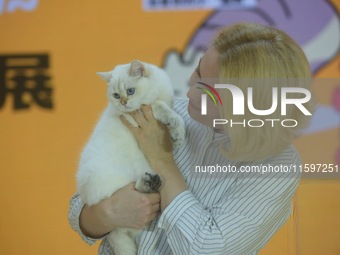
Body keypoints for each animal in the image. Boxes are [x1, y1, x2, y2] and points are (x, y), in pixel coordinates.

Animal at [76, 60, 185, 255]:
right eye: (116, 95)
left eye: (130, 91)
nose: (124, 102)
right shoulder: (137, 115)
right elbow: (161, 108)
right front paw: (176, 128)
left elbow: (167, 110)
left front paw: (176, 135)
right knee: (134, 191)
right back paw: (149, 183)